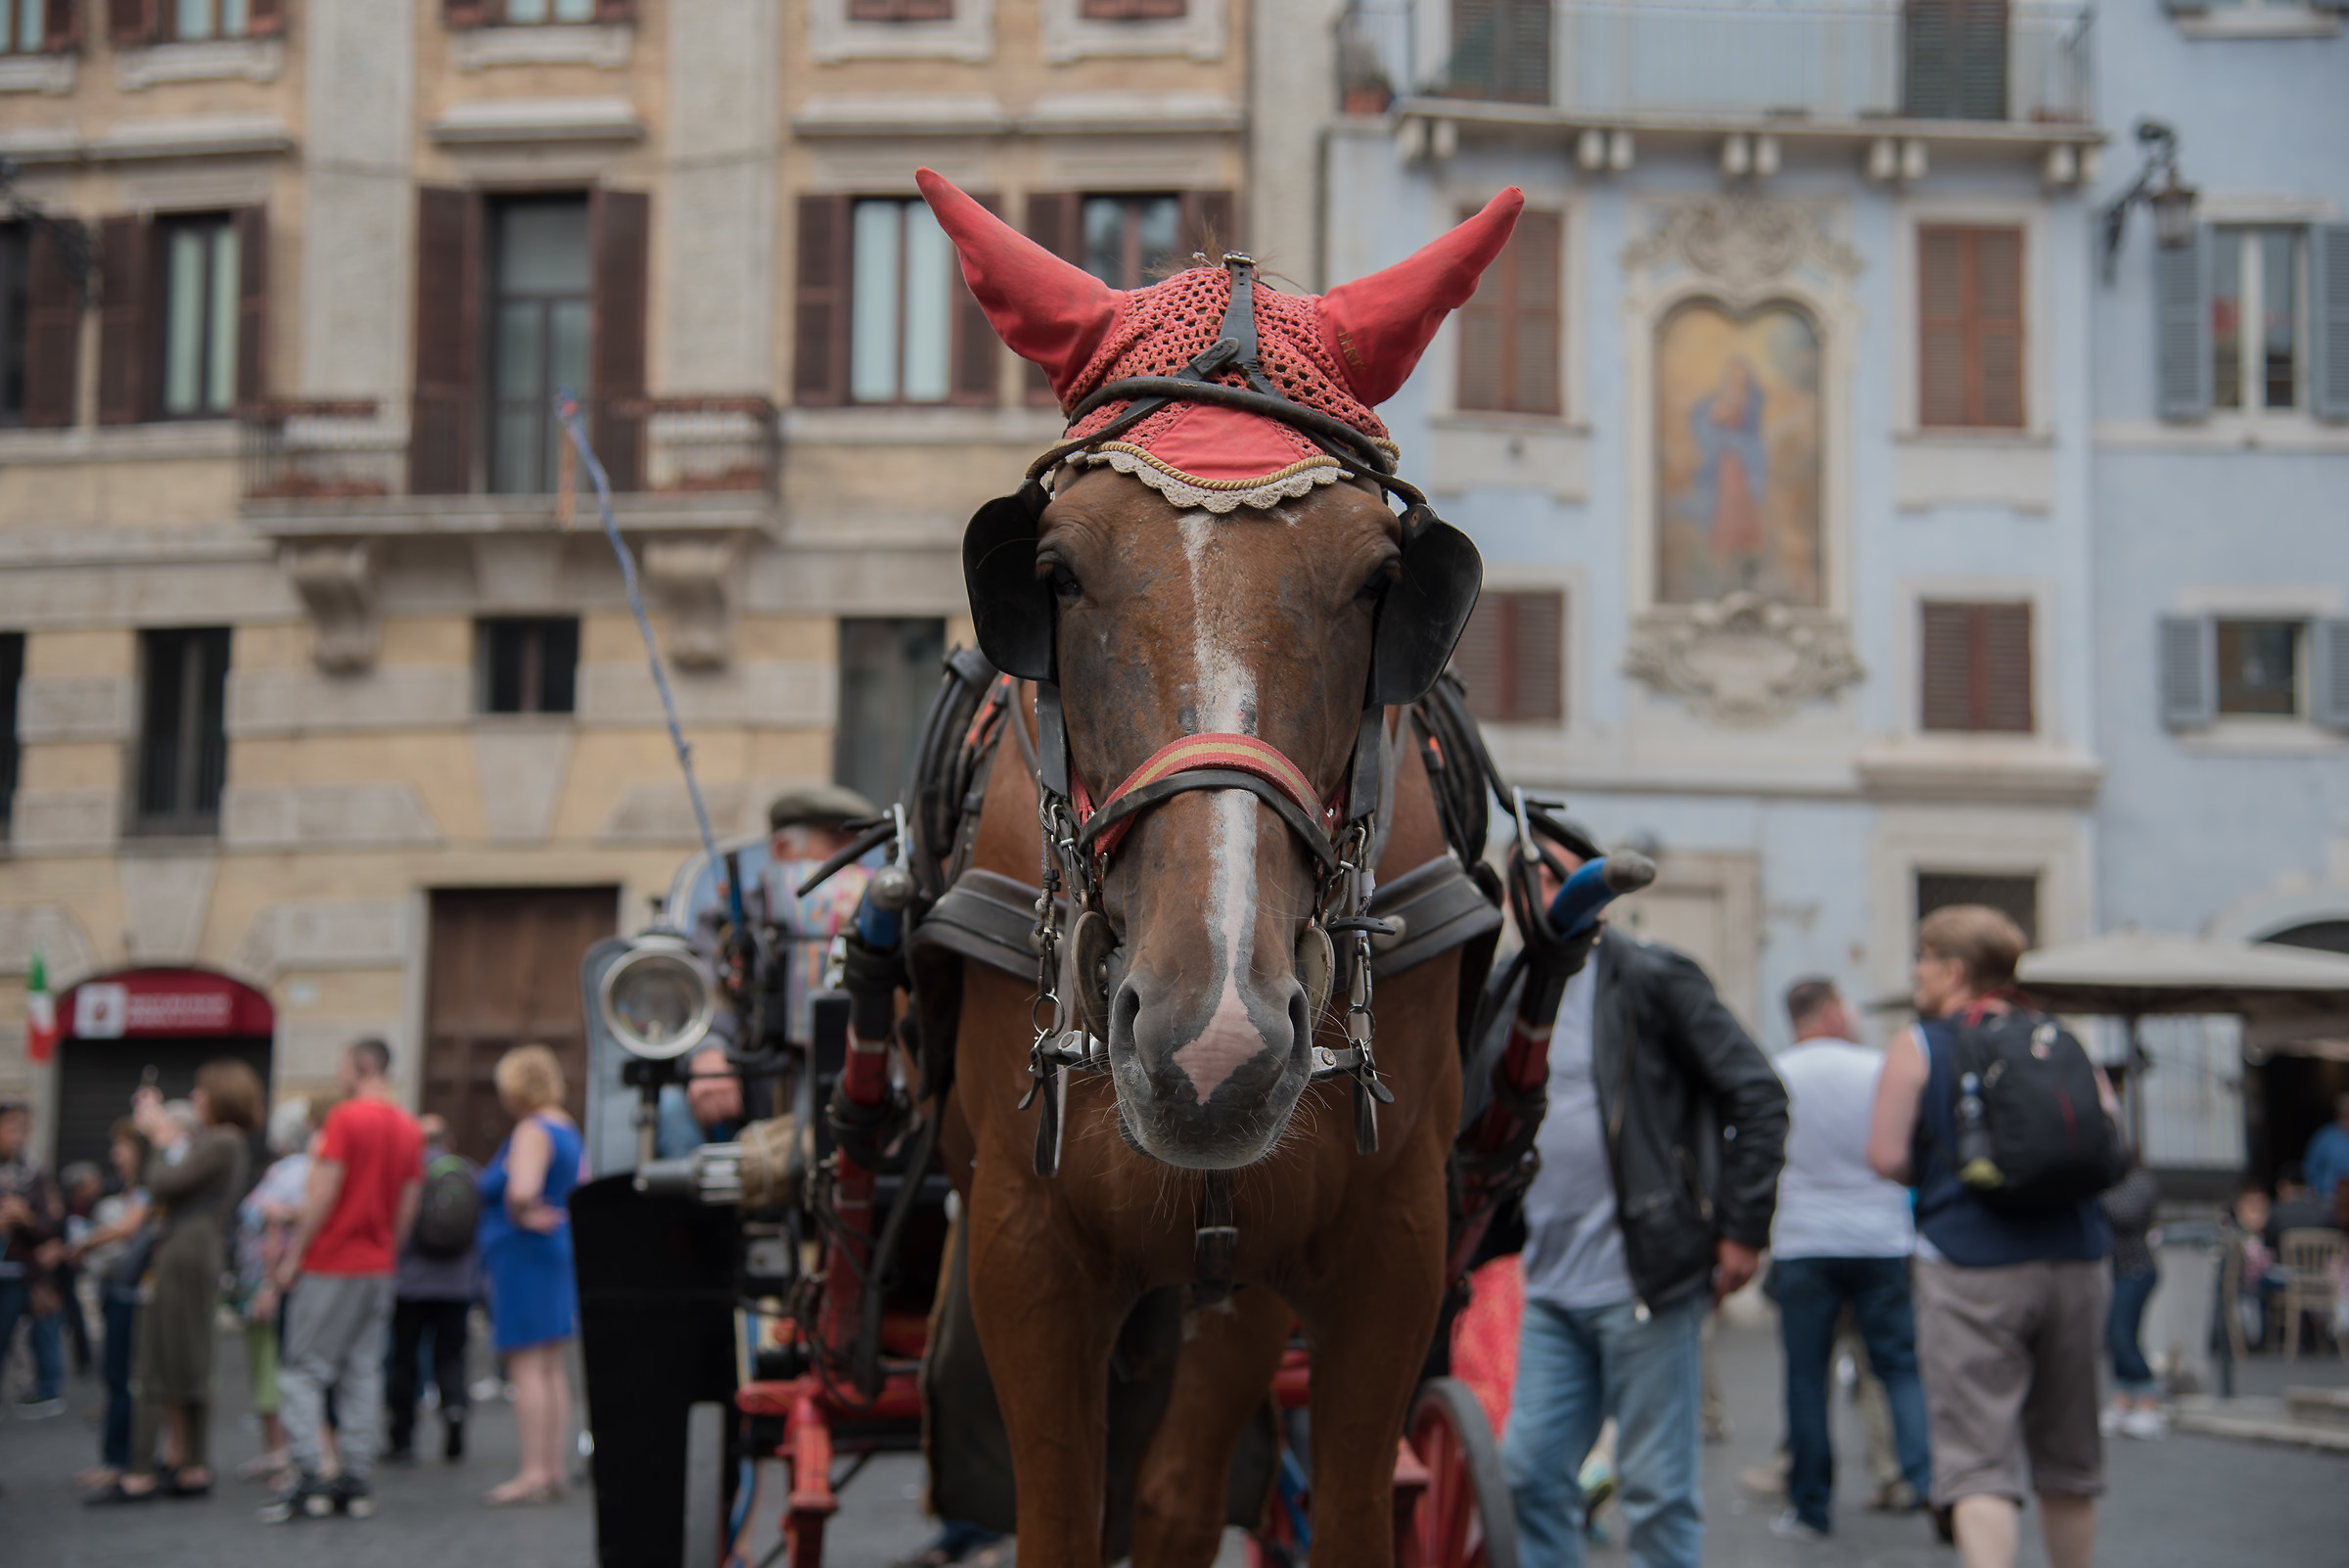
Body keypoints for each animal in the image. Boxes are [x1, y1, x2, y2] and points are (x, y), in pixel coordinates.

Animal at [911, 171, 1525, 1567]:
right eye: (1054, 570)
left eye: (1380, 580)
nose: (1215, 1040)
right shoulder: (1025, 1254)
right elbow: (1060, 1518)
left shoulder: (1387, 1251)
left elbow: (1332, 1512)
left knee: (1180, 1491)